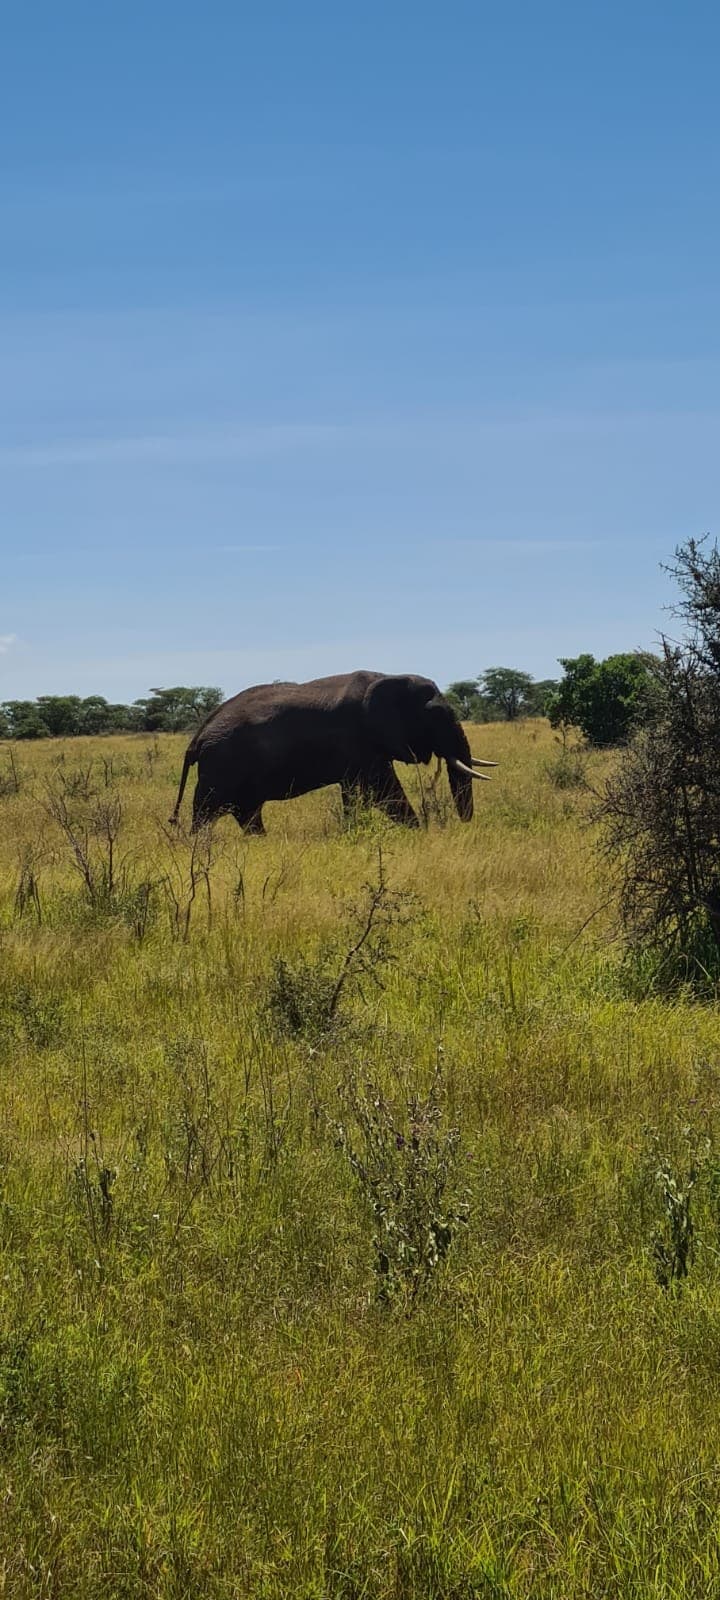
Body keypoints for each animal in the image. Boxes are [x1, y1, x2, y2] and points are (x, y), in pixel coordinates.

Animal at [169, 670, 496, 835]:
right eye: (436, 716)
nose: (464, 824)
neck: (388, 677)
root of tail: (197, 737)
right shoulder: (360, 739)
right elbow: (383, 789)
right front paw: (417, 833)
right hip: (220, 767)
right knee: (206, 813)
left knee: (248, 814)